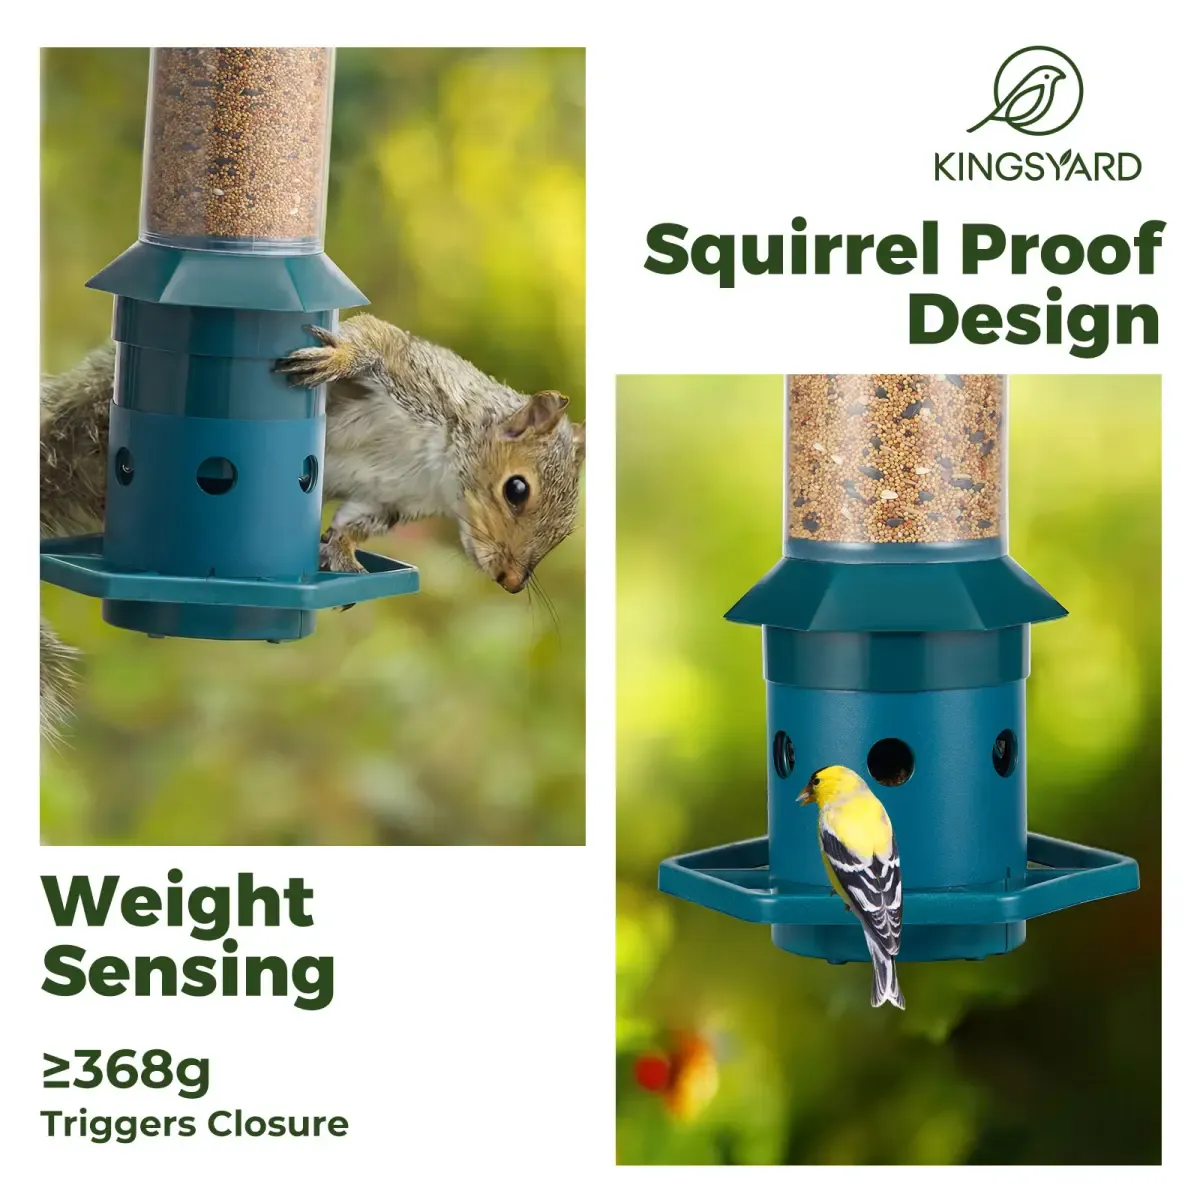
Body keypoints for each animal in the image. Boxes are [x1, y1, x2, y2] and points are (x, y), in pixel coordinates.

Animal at [40, 313, 586, 737]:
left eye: (565, 532)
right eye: (517, 490)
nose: (512, 582)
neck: (442, 470)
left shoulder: (392, 499)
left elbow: (354, 523)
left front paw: (342, 556)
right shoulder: (420, 379)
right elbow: (374, 339)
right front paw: (339, 358)